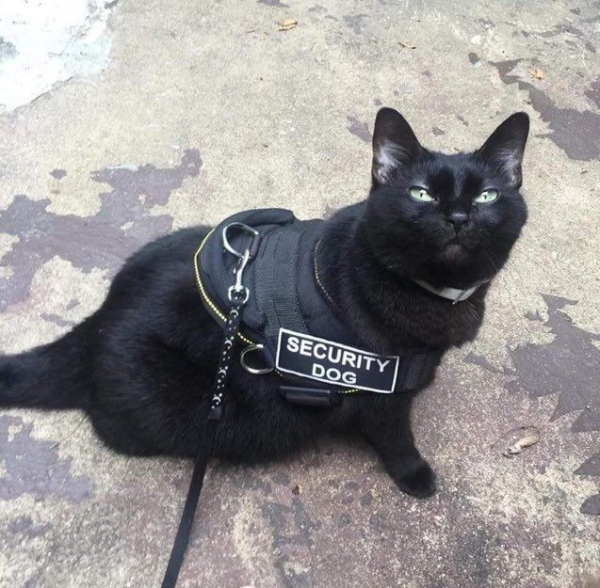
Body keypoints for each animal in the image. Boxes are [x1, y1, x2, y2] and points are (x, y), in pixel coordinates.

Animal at [0, 109, 528, 496]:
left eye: (486, 196)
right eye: (420, 194)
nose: (458, 217)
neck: (434, 293)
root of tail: (95, 323)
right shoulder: (381, 398)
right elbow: (397, 438)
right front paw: (415, 475)